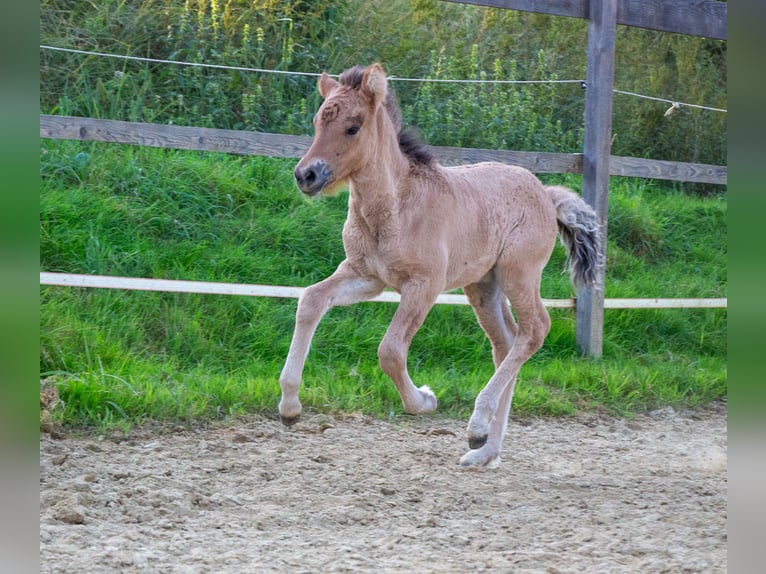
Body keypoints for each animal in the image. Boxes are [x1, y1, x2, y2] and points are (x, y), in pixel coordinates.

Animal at [279, 63, 602, 468]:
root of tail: (547, 194)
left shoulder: (424, 285)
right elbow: (311, 300)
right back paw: (485, 451)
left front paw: (425, 400)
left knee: (535, 330)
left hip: (519, 274)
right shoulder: (366, 276)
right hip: (483, 287)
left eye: (353, 127)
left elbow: (390, 351)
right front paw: (290, 407)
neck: (395, 207)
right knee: (506, 342)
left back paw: (477, 426)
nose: (305, 175)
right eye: (317, 122)